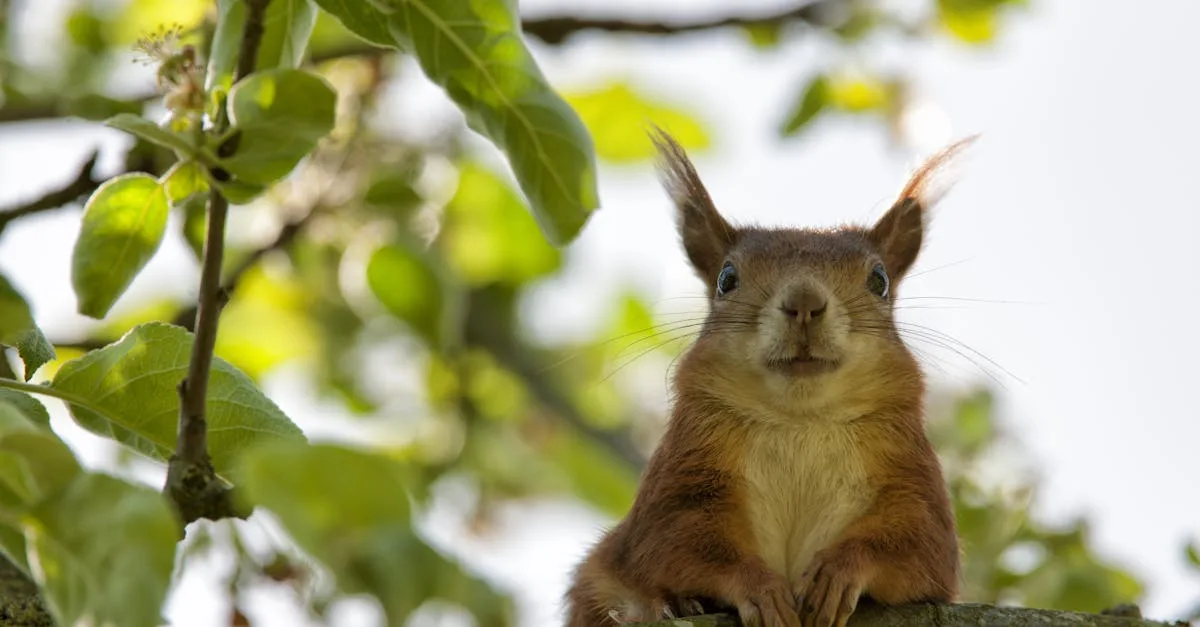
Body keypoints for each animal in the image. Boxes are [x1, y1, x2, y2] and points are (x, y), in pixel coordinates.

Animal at [564, 128, 974, 627]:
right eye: (726, 278)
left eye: (879, 280)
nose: (804, 302)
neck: (801, 419)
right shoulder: (682, 480)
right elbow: (676, 543)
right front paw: (758, 588)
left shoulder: (912, 482)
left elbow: (918, 547)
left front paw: (838, 573)